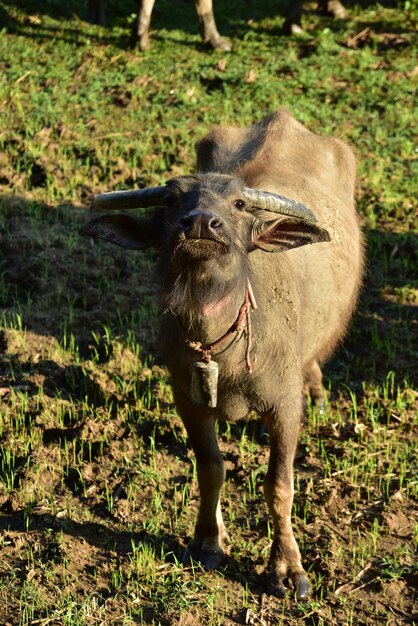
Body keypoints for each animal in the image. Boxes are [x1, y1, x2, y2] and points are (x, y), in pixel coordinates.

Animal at [81, 108, 362, 596]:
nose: (200, 223)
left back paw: (319, 394)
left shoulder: (284, 407)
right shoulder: (188, 401)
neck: (220, 353)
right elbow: (210, 467)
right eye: (172, 201)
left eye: (239, 204)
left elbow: (279, 485)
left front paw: (287, 568)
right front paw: (209, 541)